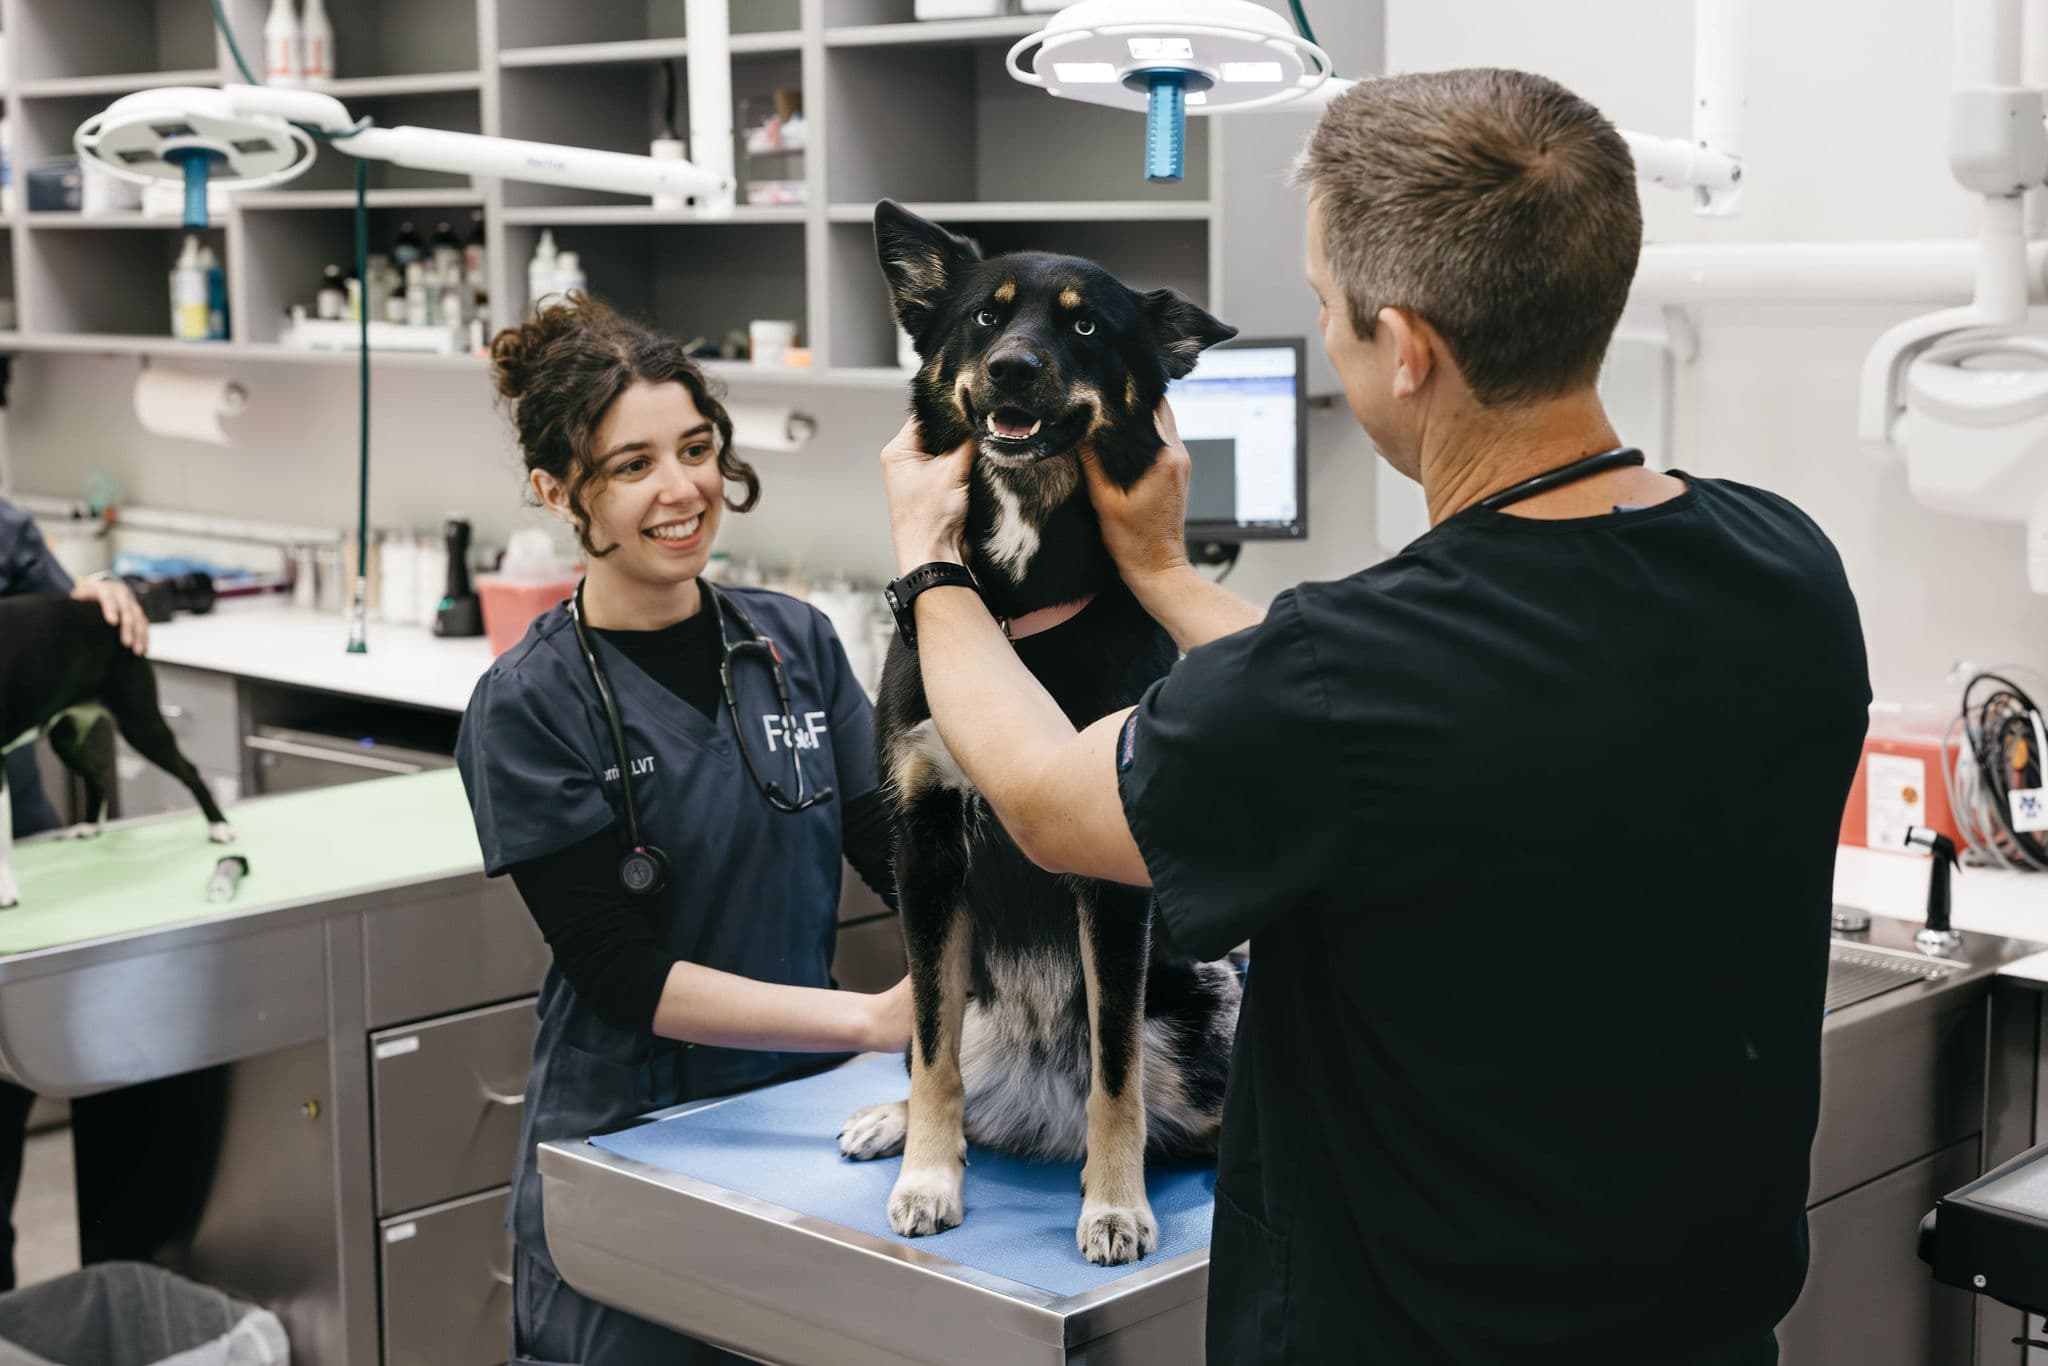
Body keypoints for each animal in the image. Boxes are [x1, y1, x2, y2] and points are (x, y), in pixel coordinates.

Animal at [2, 593, 233, 909]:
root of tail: (98, 610)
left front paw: (5, 892)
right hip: (66, 740)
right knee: (97, 773)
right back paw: (89, 826)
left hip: (141, 725)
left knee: (189, 770)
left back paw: (219, 826)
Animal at [835, 202, 1245, 1269]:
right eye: (987, 318)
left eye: (1086, 326)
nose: (1015, 367)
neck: (1015, 606)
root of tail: (1032, 1110)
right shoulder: (925, 845)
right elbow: (932, 1049)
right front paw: (927, 1175)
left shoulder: (1110, 875)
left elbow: (1117, 1070)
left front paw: (1115, 1204)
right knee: (936, 1052)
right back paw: (897, 1121)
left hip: (1205, 1000)